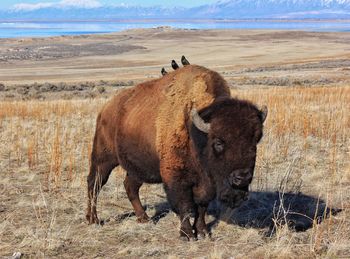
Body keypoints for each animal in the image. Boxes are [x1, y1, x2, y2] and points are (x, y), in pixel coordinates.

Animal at [87, 65, 268, 242]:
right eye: (218, 143)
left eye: (255, 140)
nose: (242, 177)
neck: (196, 133)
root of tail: (105, 109)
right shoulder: (176, 178)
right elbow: (185, 206)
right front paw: (187, 235)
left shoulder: (206, 184)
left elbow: (201, 207)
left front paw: (203, 232)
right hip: (103, 159)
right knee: (94, 183)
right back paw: (93, 219)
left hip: (137, 167)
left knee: (130, 186)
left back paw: (144, 218)